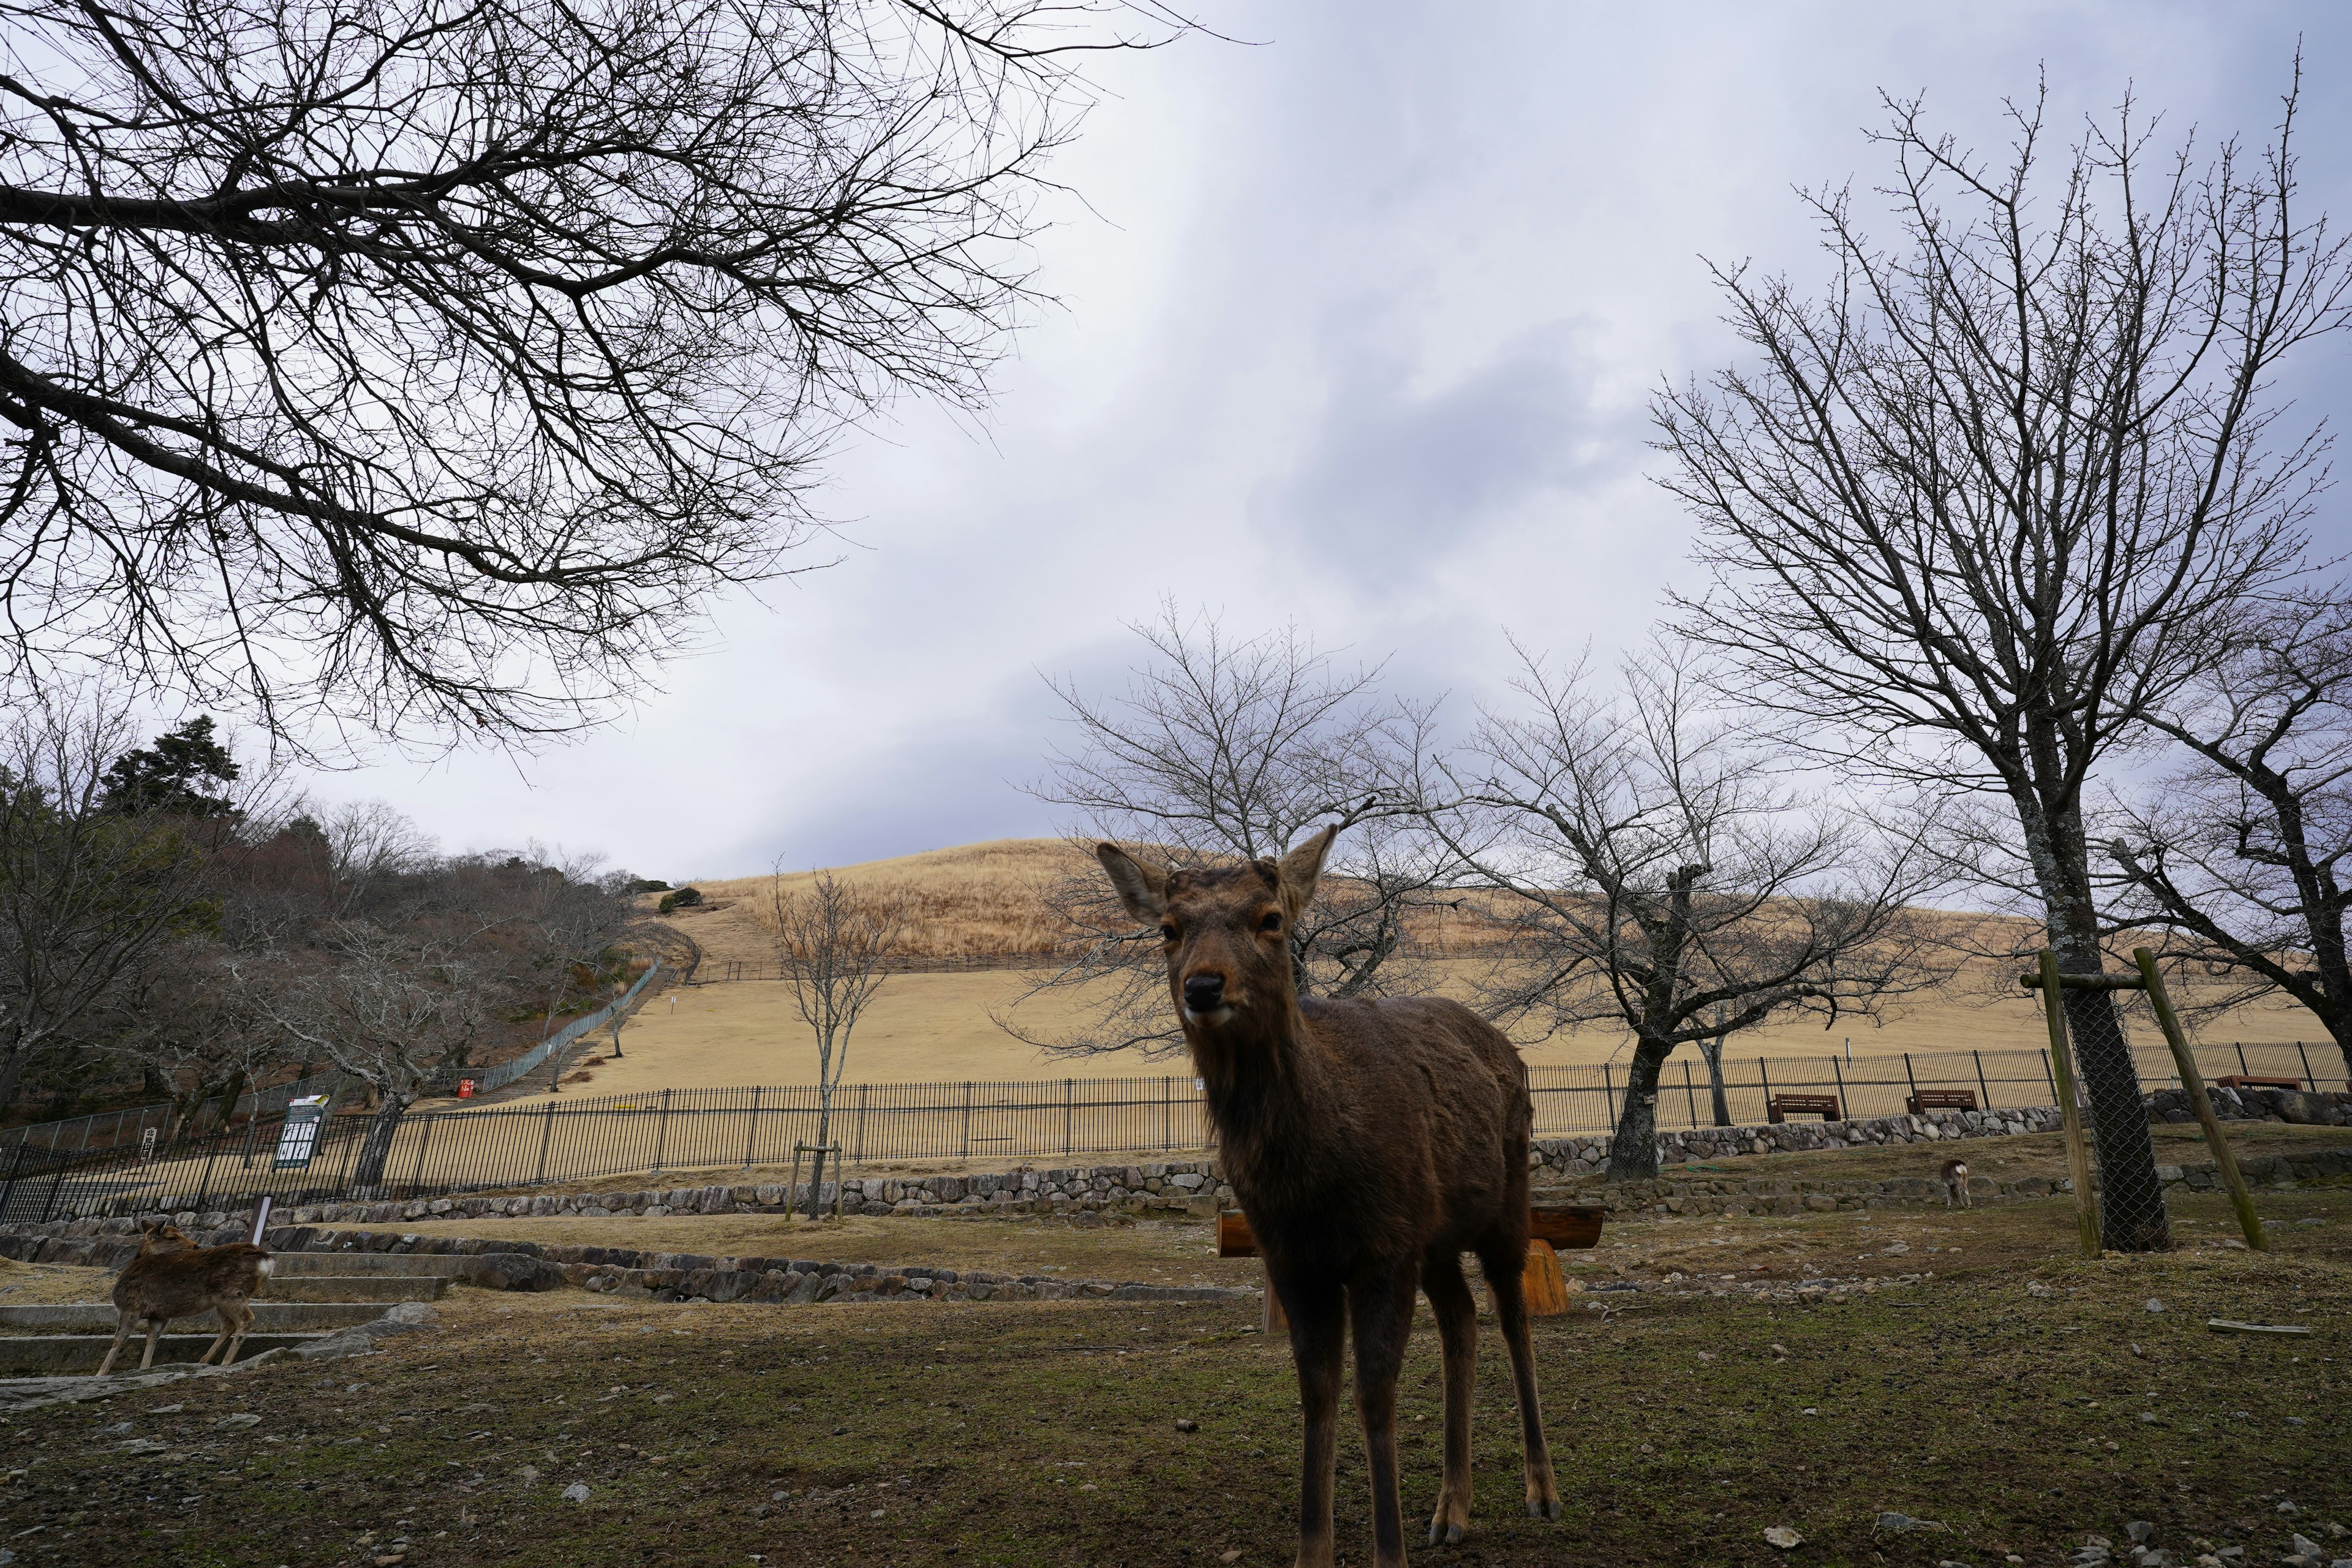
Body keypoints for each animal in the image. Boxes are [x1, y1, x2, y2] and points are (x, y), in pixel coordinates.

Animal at [94, 1222, 273, 1382]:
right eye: (172, 1237)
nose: (196, 1245)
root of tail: (266, 1260)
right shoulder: (159, 1315)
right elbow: (152, 1339)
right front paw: (144, 1369)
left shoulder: (131, 1306)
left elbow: (119, 1339)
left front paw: (100, 1373)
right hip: (224, 1299)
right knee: (229, 1325)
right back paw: (203, 1360)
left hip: (229, 1293)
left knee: (246, 1320)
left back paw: (225, 1362)